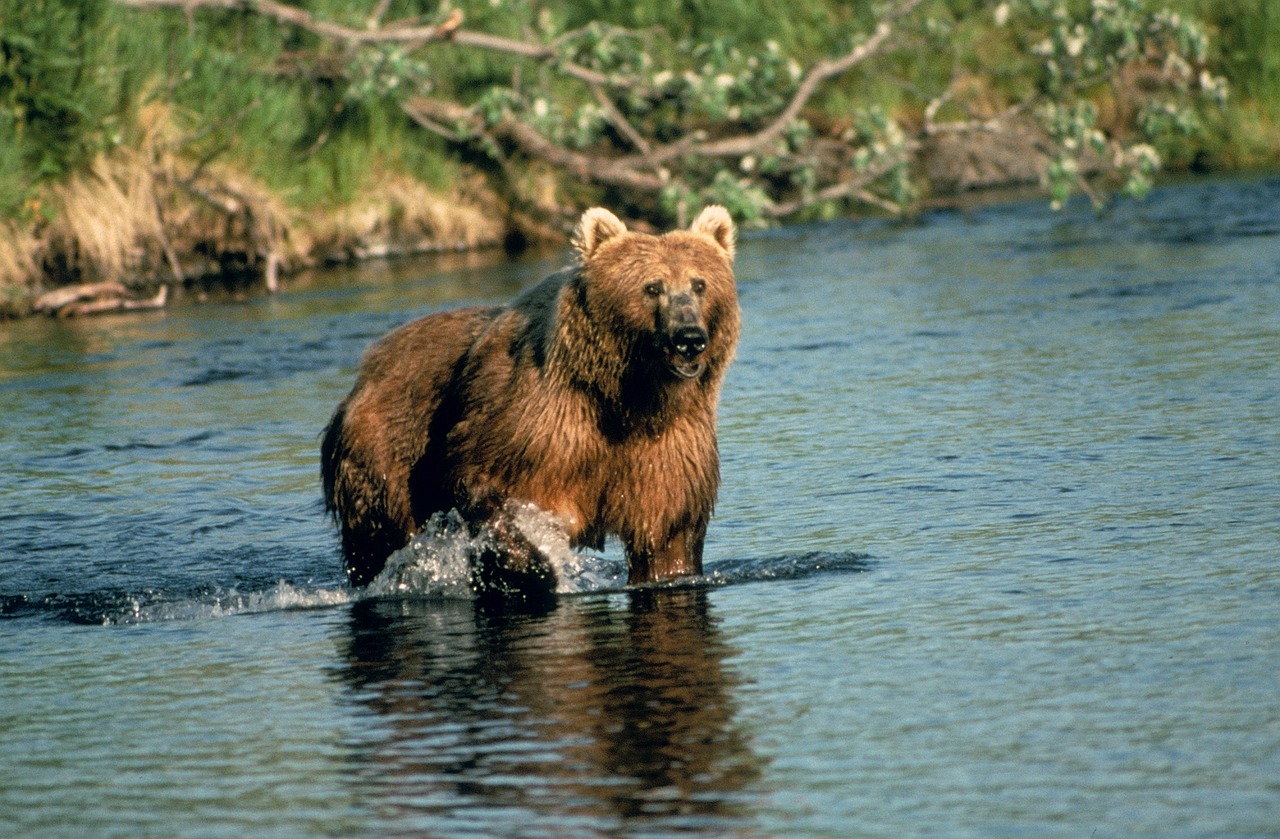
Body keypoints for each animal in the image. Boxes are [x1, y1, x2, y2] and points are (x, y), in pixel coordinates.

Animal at [320, 206, 742, 594]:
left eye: (700, 284)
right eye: (652, 287)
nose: (688, 337)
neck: (629, 397)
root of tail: (365, 371)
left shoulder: (668, 448)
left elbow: (667, 536)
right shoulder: (540, 424)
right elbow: (488, 485)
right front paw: (532, 569)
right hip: (385, 451)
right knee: (380, 537)